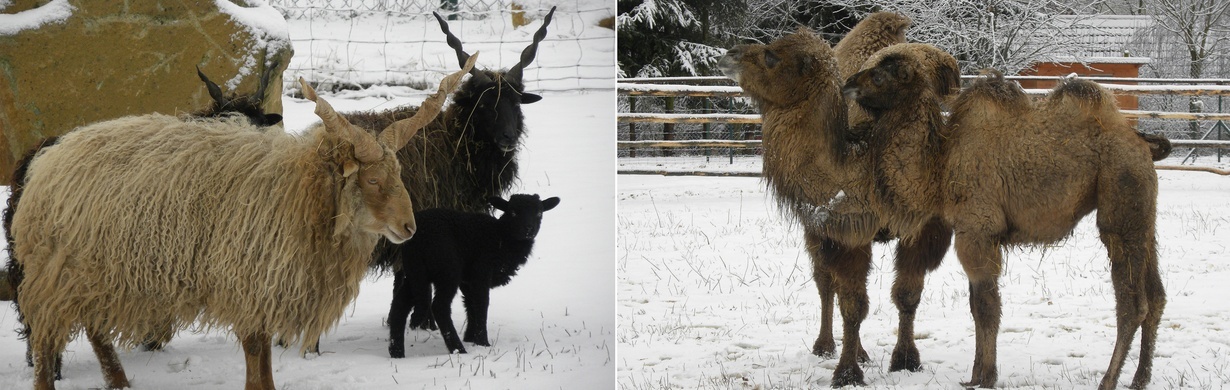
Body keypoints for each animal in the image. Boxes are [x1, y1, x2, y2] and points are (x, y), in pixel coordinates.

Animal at [386, 191, 560, 354]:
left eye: (539, 213)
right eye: (513, 212)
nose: (529, 229)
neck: (501, 238)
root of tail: (418, 237)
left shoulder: (467, 280)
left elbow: (470, 305)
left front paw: (471, 337)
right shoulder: (481, 272)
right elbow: (481, 304)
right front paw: (483, 342)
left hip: (416, 270)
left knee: (400, 304)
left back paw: (397, 352)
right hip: (448, 269)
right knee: (440, 306)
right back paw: (458, 349)